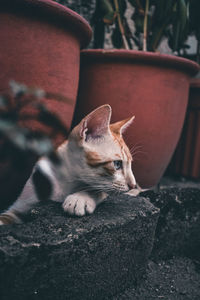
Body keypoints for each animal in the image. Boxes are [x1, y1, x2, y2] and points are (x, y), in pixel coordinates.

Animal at [0, 104, 137, 224]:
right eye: (117, 164)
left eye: (130, 164)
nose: (133, 185)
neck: (67, 181)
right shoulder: (19, 206)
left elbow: (98, 189)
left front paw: (79, 198)